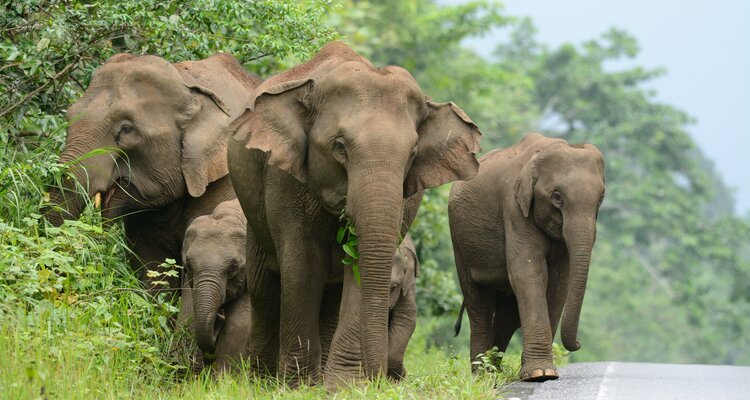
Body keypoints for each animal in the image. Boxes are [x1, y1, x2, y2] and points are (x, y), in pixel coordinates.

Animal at [227, 41, 481, 386]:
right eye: (340, 147)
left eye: (412, 154)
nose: (380, 379)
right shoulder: (283, 180)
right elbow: (302, 267)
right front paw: (298, 386)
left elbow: (359, 267)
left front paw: (343, 385)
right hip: (252, 207)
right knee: (264, 287)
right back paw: (262, 380)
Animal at [449, 133, 605, 382]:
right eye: (557, 197)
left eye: (601, 198)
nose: (578, 344)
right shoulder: (513, 207)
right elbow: (529, 273)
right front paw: (540, 374)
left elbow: (558, 284)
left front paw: (543, 372)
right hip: (459, 240)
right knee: (478, 303)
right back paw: (483, 375)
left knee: (508, 314)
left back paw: (495, 370)